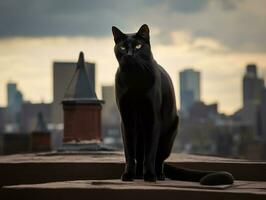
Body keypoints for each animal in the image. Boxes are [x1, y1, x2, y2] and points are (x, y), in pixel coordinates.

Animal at [111, 24, 234, 185]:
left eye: (138, 46)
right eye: (123, 47)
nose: (130, 55)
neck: (134, 80)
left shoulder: (152, 118)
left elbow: (150, 153)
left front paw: (150, 176)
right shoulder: (126, 119)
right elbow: (129, 153)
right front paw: (128, 175)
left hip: (168, 137)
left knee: (158, 159)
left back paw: (158, 175)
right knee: (139, 157)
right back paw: (137, 175)